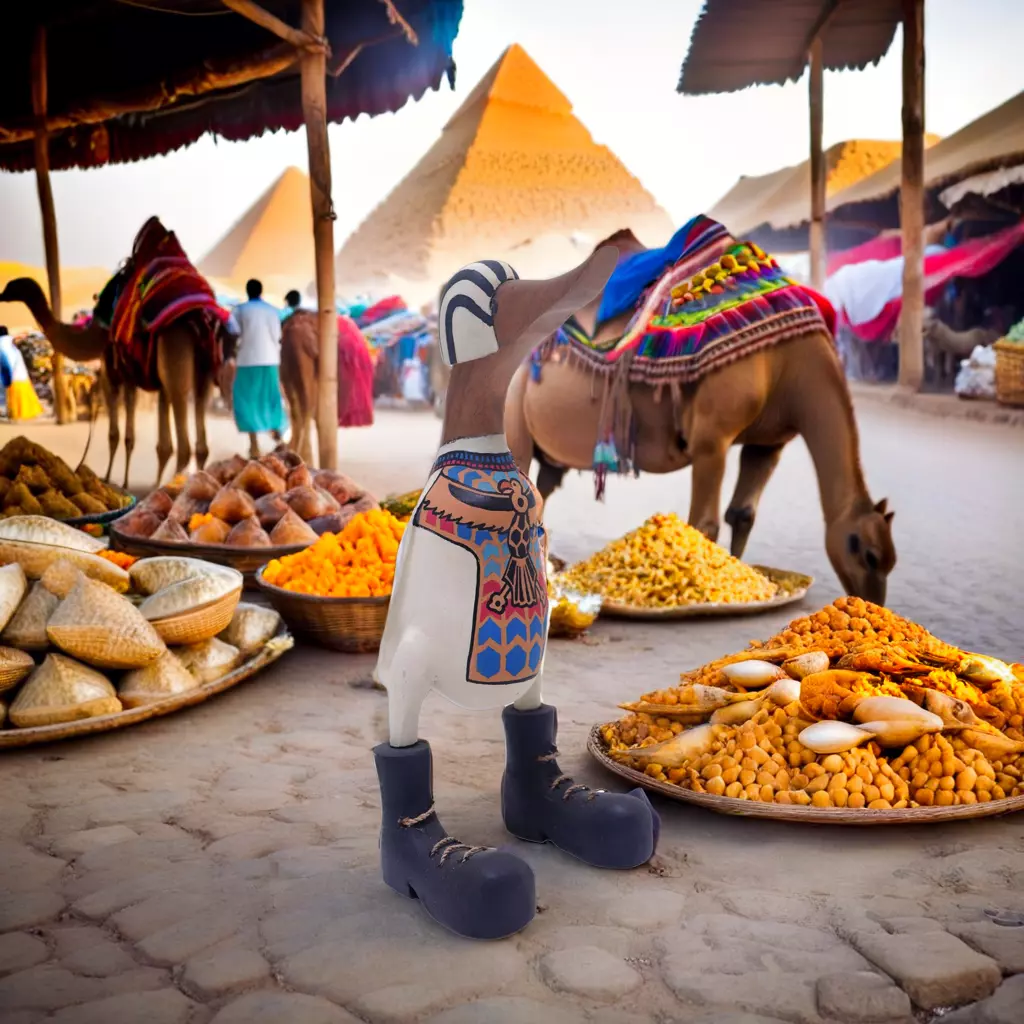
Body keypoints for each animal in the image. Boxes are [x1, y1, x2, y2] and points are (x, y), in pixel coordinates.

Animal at [0, 278, 230, 489]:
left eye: (12, 286)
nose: (1, 295)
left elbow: (116, 434)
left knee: (184, 444)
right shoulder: (145, 380)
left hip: (175, 354)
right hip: (203, 373)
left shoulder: (113, 375)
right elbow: (156, 444)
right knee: (200, 438)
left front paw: (110, 478)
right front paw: (144, 483)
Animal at [503, 228, 897, 602]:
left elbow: (743, 514)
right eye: (869, 555)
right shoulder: (712, 439)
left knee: (542, 491)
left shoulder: (768, 442)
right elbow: (703, 525)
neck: (790, 361)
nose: (874, 602)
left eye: (890, 562)